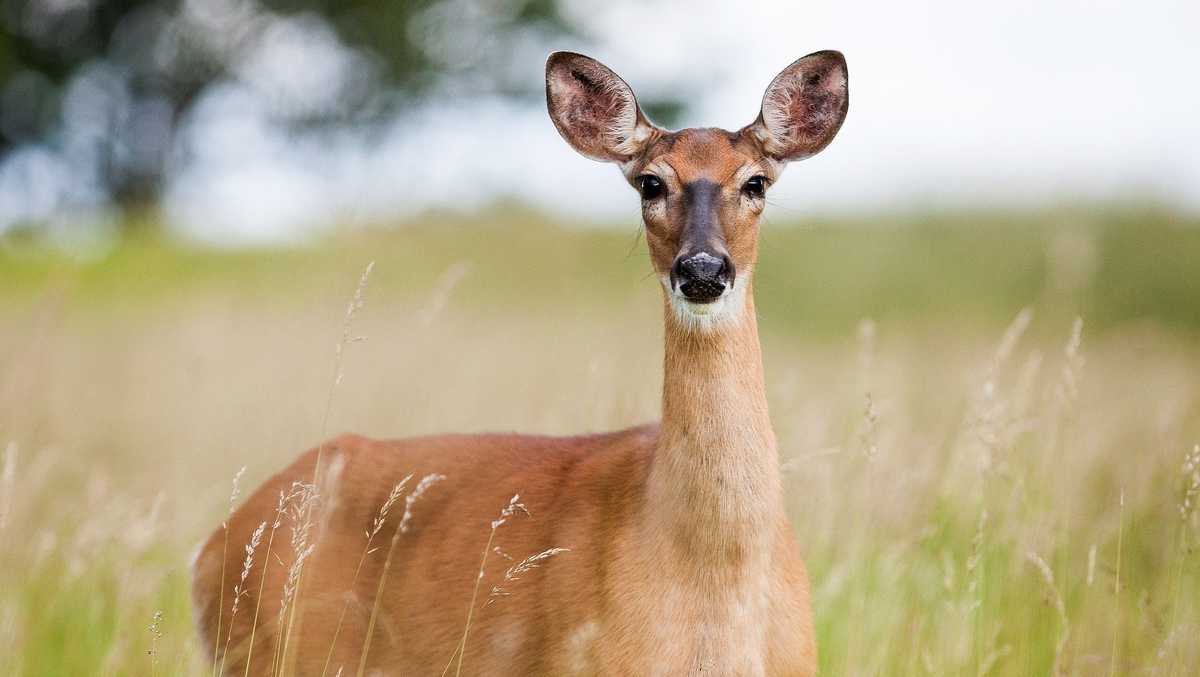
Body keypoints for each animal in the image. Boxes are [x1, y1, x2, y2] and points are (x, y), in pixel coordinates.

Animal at [192, 48, 849, 677]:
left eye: (757, 182)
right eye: (650, 184)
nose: (703, 270)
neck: (714, 583)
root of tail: (212, 549)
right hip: (266, 652)